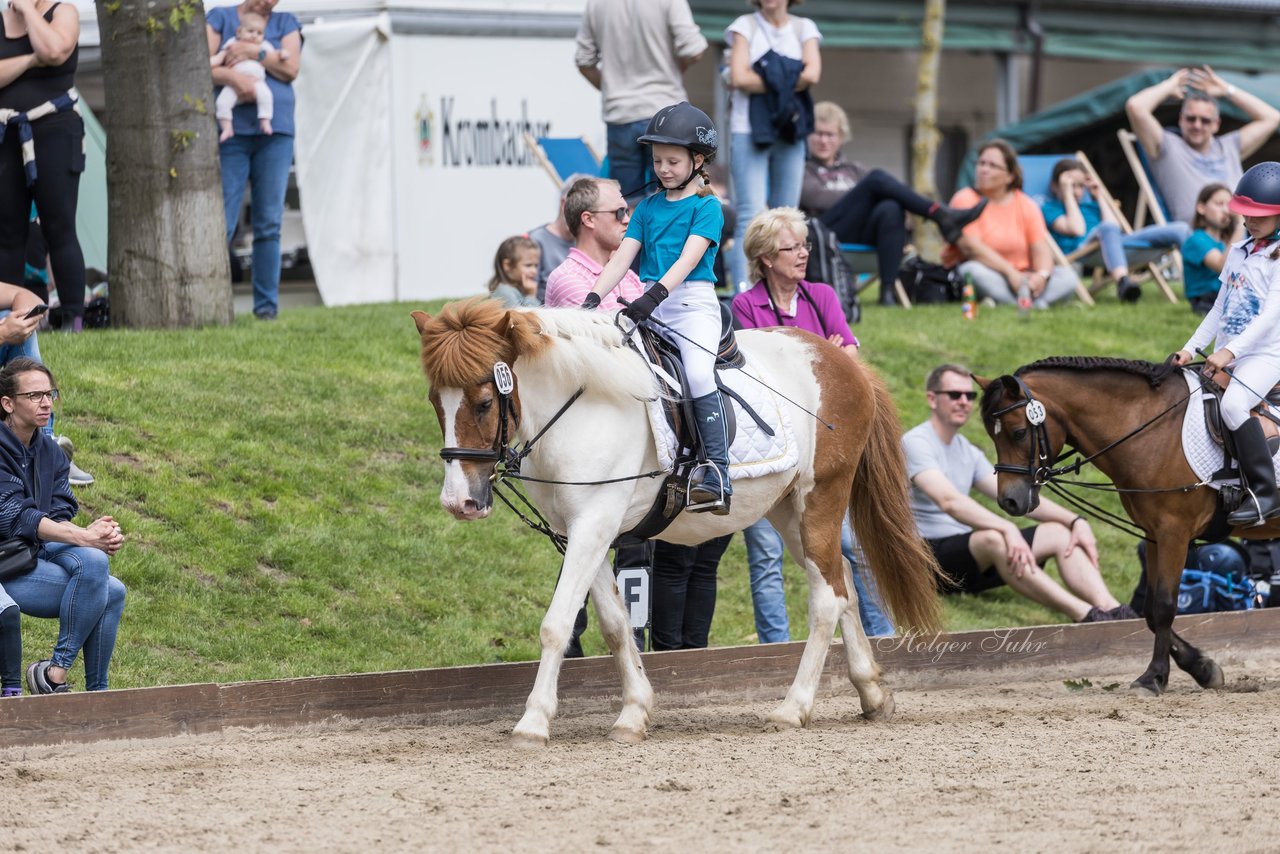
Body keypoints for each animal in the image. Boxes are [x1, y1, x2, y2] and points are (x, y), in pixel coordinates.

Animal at [409, 300, 942, 747]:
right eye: (435, 402)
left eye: (483, 403)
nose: (458, 501)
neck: (580, 408)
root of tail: (842, 359)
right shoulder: (578, 532)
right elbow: (616, 626)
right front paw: (633, 714)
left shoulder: (593, 524)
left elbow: (556, 625)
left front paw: (533, 723)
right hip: (788, 509)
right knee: (841, 581)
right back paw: (872, 693)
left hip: (822, 496)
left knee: (827, 600)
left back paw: (794, 708)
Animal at [977, 358, 1280, 696]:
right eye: (992, 435)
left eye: (1018, 433)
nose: (1009, 501)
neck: (1151, 428)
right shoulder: (1154, 534)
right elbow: (1149, 610)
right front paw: (1202, 668)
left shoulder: (1174, 532)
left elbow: (1164, 605)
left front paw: (1154, 677)